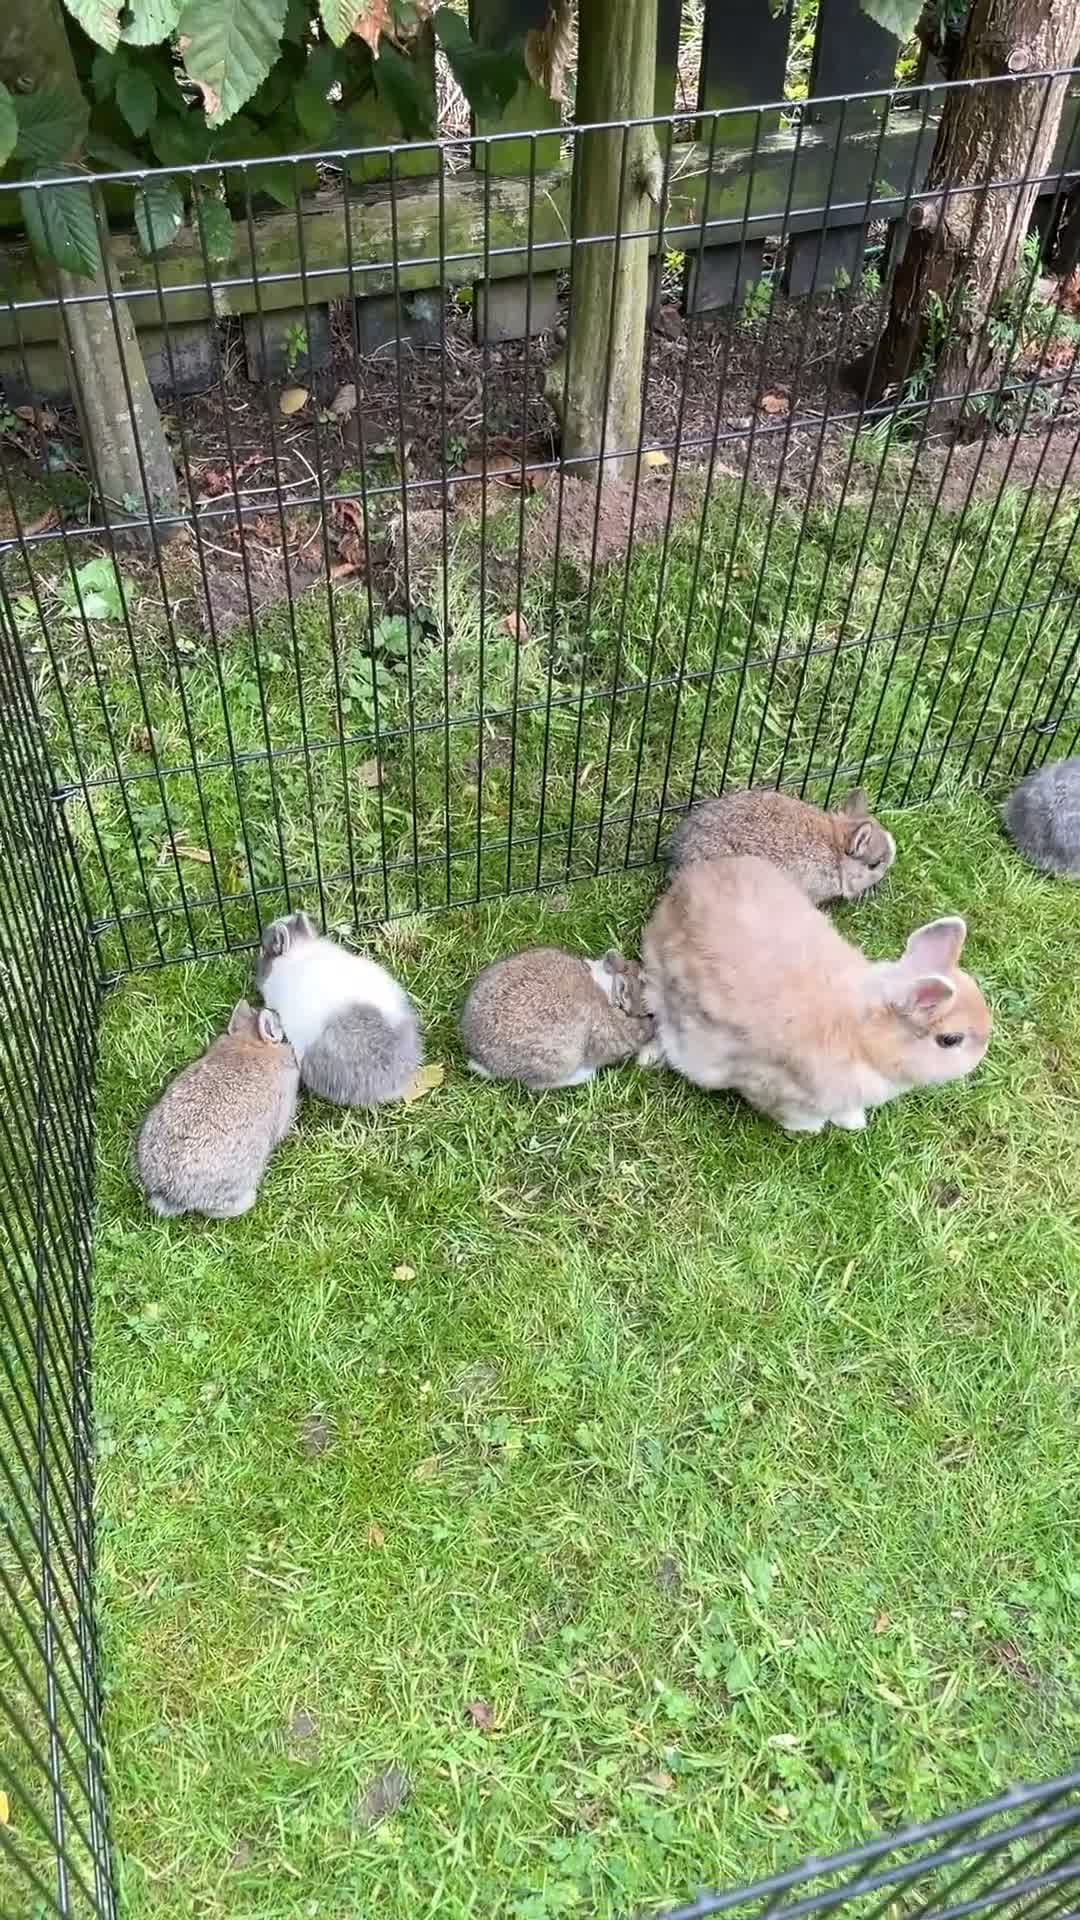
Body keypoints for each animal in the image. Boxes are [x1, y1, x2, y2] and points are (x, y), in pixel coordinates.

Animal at [639, 855, 990, 1133]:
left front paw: (852, 1122)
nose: (980, 1056)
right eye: (950, 1040)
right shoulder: (772, 1085)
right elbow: (791, 1112)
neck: (861, 1037)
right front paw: (811, 1129)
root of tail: (683, 885)